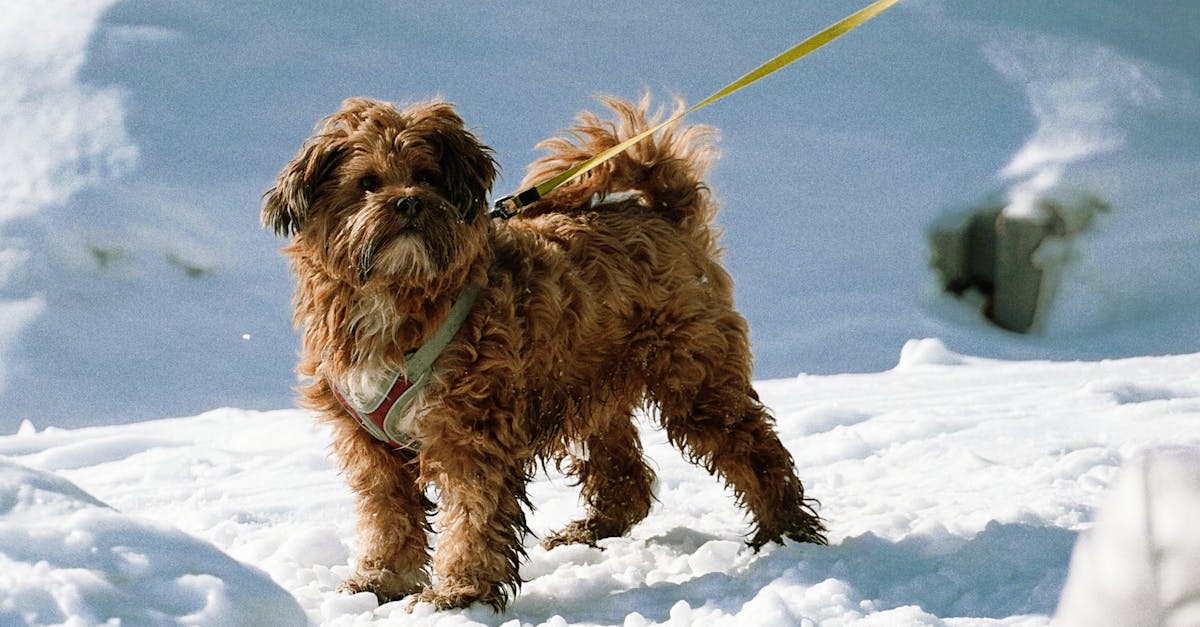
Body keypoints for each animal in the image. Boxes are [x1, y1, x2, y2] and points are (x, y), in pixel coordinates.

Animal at [262, 97, 825, 610]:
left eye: (426, 176)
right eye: (366, 183)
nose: (408, 203)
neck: (395, 293)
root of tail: (663, 216)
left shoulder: (471, 429)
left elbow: (473, 513)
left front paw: (461, 591)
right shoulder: (369, 442)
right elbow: (388, 516)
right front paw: (380, 581)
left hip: (692, 375)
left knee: (754, 451)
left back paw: (786, 532)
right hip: (588, 384)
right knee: (625, 475)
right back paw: (591, 530)